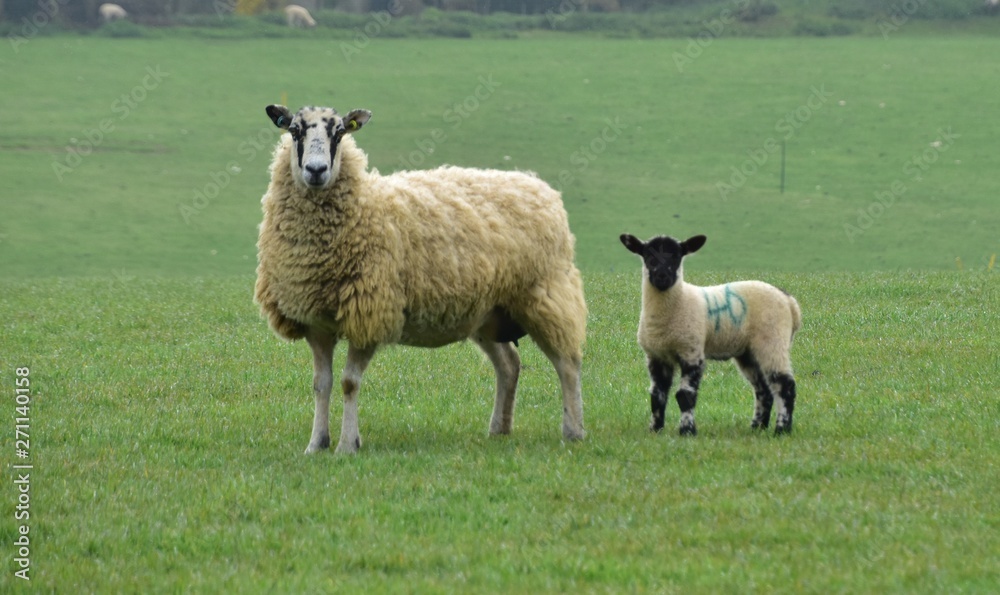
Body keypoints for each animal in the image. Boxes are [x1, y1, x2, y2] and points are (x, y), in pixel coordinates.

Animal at [254, 103, 588, 456]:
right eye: (294, 130)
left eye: (340, 132)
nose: (316, 170)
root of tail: (540, 187)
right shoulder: (316, 322)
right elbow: (321, 384)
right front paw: (316, 444)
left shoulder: (369, 313)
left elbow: (348, 383)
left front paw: (347, 445)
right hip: (487, 312)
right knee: (509, 364)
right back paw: (499, 428)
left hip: (545, 293)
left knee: (568, 363)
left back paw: (573, 430)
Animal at [616, 234, 804, 438]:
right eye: (648, 256)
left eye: (677, 257)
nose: (662, 277)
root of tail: (789, 302)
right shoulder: (656, 356)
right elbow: (657, 395)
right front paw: (655, 429)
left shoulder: (692, 350)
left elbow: (685, 396)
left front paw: (687, 431)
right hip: (748, 352)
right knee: (763, 389)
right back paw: (757, 427)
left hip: (773, 340)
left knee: (784, 386)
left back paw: (782, 429)